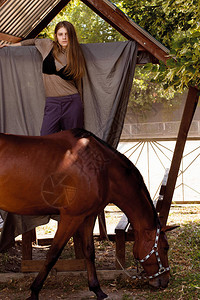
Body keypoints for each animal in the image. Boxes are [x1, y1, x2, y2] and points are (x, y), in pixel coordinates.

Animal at [0, 129, 174, 300]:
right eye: (165, 247)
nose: (165, 280)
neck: (100, 168)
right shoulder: (71, 217)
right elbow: (53, 254)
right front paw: (34, 291)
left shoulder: (89, 216)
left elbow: (89, 251)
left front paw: (97, 289)